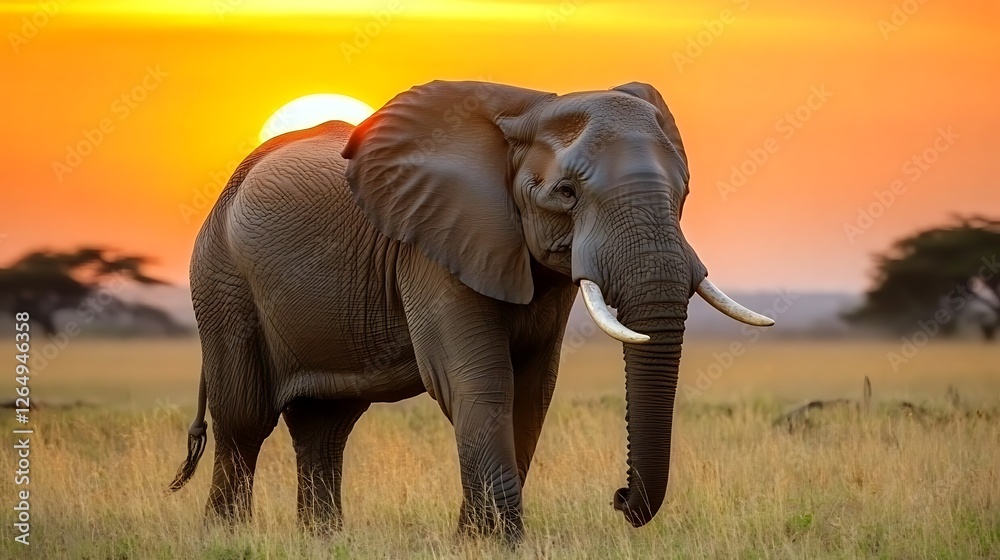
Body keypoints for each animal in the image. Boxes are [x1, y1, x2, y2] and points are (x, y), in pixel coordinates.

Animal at [166, 80, 773, 541]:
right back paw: (226, 538)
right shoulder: (431, 244)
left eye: (684, 192)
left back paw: (323, 540)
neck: (528, 108)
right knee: (244, 419)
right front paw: (497, 541)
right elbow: (477, 379)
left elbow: (534, 387)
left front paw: (474, 539)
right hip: (221, 276)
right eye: (566, 194)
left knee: (325, 424)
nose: (620, 497)